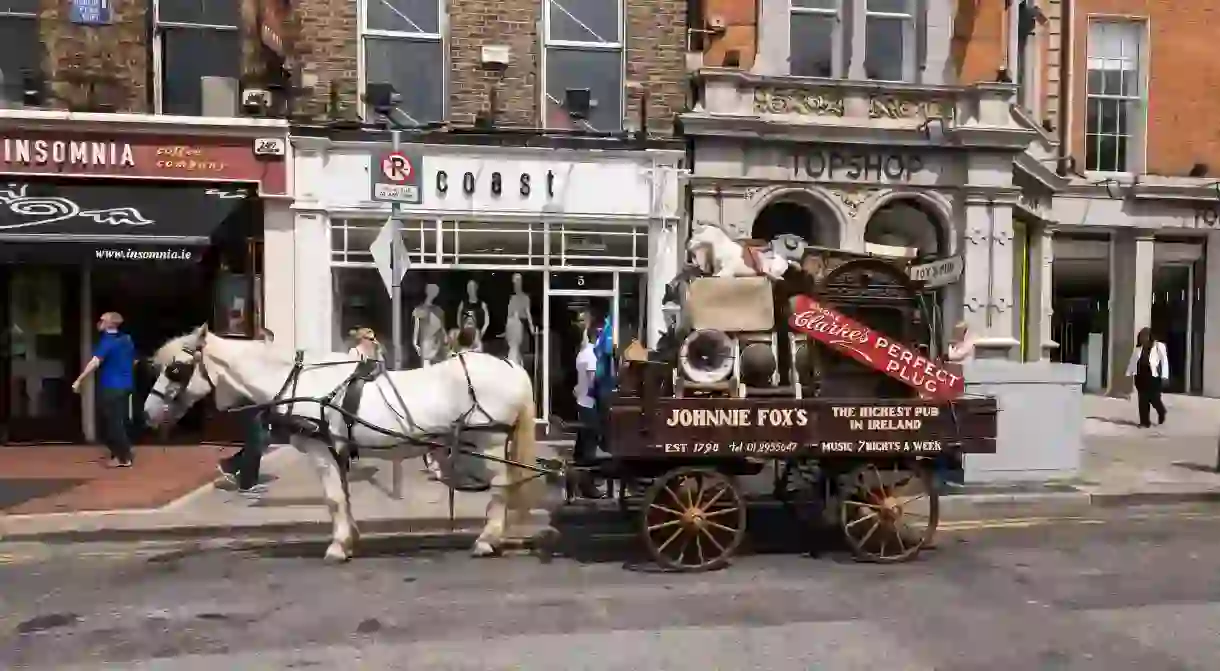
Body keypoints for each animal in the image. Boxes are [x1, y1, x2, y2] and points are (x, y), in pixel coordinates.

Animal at [143, 324, 544, 563]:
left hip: (489, 440)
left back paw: (487, 540)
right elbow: (344, 498)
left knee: (500, 488)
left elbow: (333, 499)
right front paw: (350, 539)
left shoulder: (319, 449)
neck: (298, 384)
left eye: (175, 369)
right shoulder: (336, 450)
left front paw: (337, 546)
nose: (147, 413)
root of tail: (510, 367)